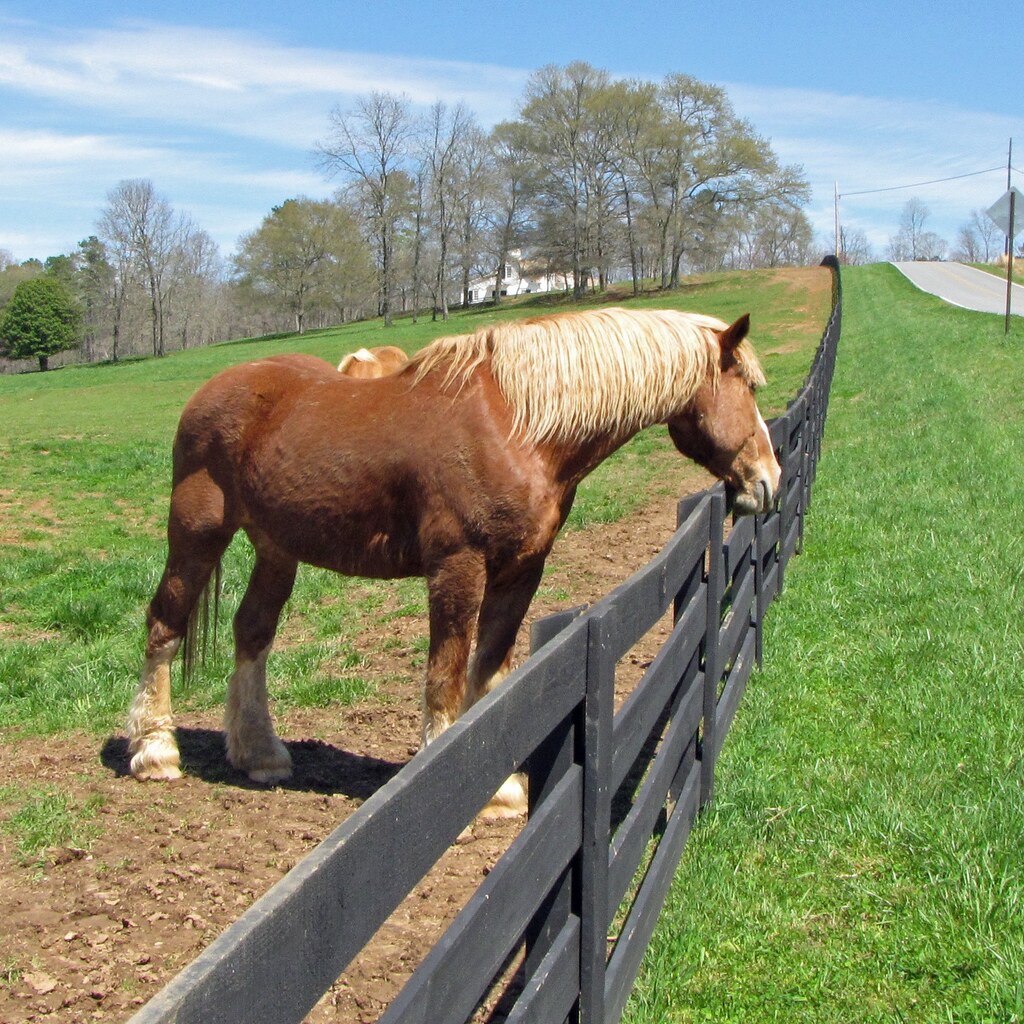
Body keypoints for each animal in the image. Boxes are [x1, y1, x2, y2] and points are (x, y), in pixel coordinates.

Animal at [126, 306, 780, 815]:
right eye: (748, 389)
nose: (768, 482)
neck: (518, 425)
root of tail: (213, 389)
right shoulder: (458, 568)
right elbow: (445, 675)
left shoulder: (521, 571)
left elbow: (488, 671)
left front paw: (500, 788)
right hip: (197, 533)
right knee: (164, 624)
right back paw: (155, 751)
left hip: (276, 549)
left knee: (252, 633)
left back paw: (259, 754)